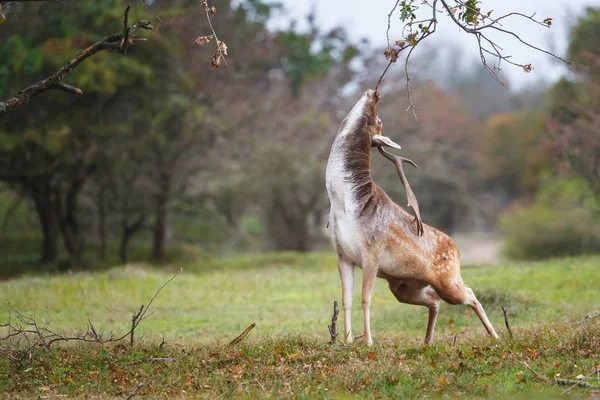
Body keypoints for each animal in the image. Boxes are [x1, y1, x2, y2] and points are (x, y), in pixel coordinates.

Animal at [326, 89, 500, 346]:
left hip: (447, 279)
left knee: (468, 293)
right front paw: (347, 342)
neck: (346, 206)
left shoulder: (372, 250)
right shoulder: (342, 254)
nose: (374, 93)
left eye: (379, 120)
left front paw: (368, 342)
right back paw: (427, 341)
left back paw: (496, 335)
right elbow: (346, 300)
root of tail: (457, 249)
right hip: (404, 287)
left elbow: (365, 298)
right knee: (434, 300)